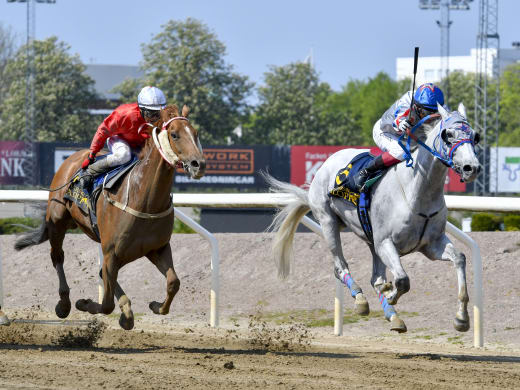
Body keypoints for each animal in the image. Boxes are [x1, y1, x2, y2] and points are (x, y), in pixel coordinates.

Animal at [12, 103, 203, 330]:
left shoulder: (157, 248)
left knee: (104, 273)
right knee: (57, 257)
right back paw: (64, 304)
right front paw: (85, 303)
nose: (199, 164)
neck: (145, 199)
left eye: (196, 133)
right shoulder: (111, 251)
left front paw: (155, 306)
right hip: (57, 222)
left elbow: (173, 282)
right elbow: (106, 304)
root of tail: (72, 158)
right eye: (174, 134)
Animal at [266, 103, 482, 332]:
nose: (472, 168)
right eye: (447, 134)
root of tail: (326, 163)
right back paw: (361, 300)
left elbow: (460, 258)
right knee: (340, 267)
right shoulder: (386, 242)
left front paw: (462, 318)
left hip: (371, 240)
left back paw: (393, 316)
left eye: (475, 136)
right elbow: (402, 280)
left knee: (375, 278)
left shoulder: (432, 244)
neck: (417, 192)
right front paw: (391, 294)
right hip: (328, 221)